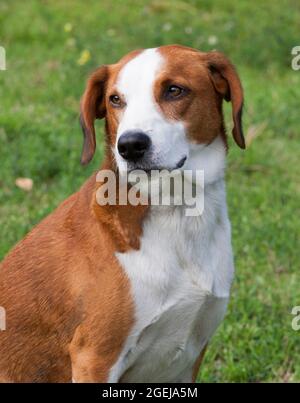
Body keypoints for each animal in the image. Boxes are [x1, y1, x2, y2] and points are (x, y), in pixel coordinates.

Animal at [0, 45, 245, 384]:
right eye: (115, 99)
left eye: (174, 90)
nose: (130, 145)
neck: (178, 208)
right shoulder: (96, 357)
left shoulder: (189, 360)